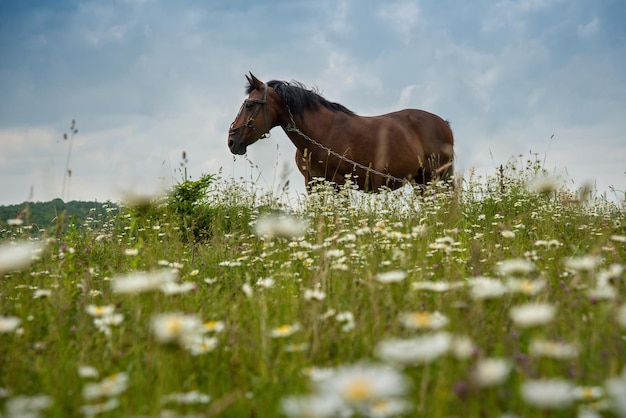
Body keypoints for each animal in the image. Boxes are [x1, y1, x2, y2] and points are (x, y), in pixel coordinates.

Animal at [227, 72, 450, 193]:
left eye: (249, 105)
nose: (231, 140)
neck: (320, 134)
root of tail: (444, 123)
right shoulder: (313, 183)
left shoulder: (339, 184)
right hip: (421, 181)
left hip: (435, 178)